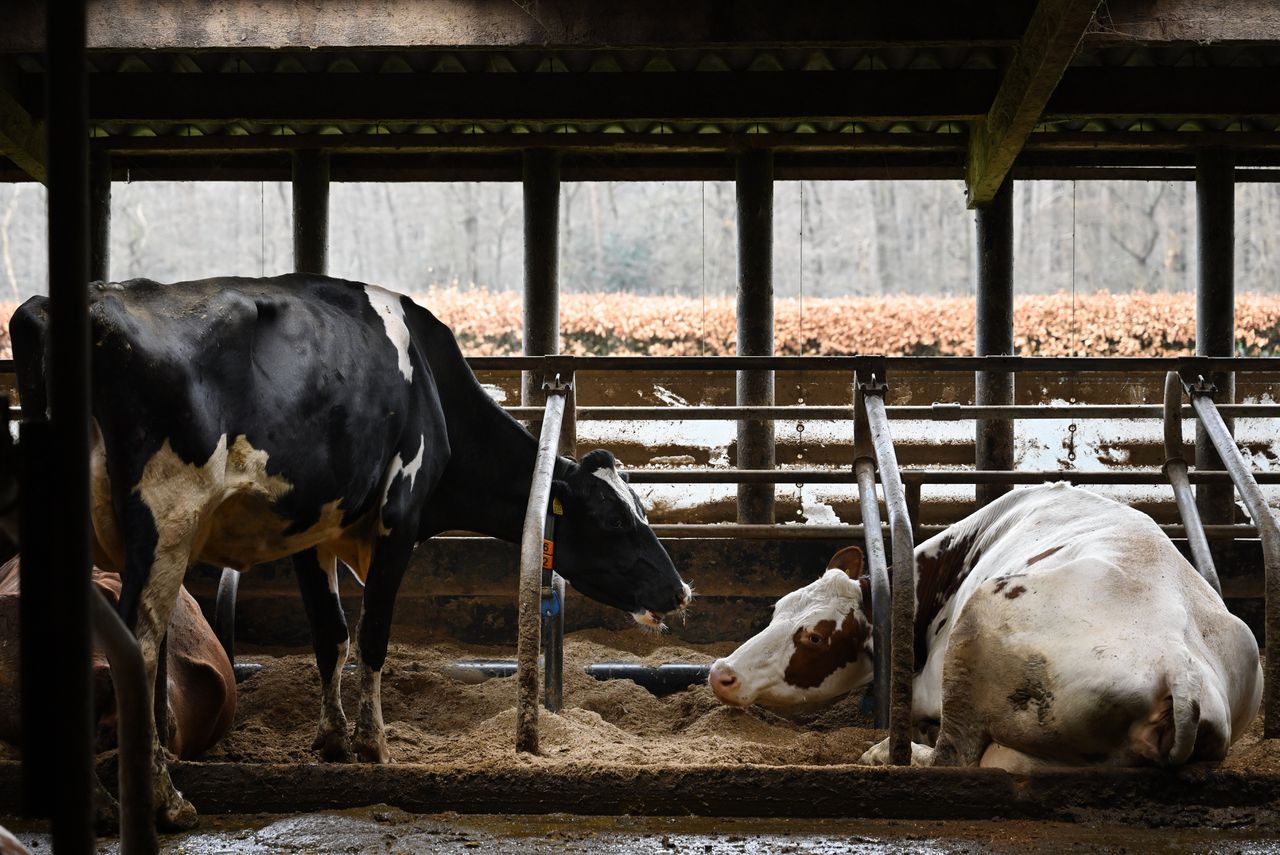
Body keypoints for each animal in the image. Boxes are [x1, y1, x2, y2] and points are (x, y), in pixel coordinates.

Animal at [711, 483, 1259, 773]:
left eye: (816, 636)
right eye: (778, 608)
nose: (720, 672)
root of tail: (1178, 666)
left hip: (976, 631)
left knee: (953, 755)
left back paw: (888, 752)